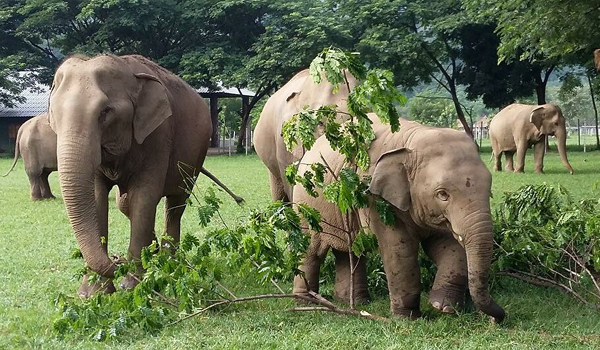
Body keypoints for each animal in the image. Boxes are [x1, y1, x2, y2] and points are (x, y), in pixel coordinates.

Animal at [292, 115, 504, 322]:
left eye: (489, 187)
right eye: (442, 194)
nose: (497, 318)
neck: (413, 139)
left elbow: (448, 246)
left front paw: (444, 307)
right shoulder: (375, 199)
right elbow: (399, 249)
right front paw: (407, 318)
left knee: (350, 251)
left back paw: (356, 302)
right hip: (305, 205)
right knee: (311, 250)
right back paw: (306, 300)